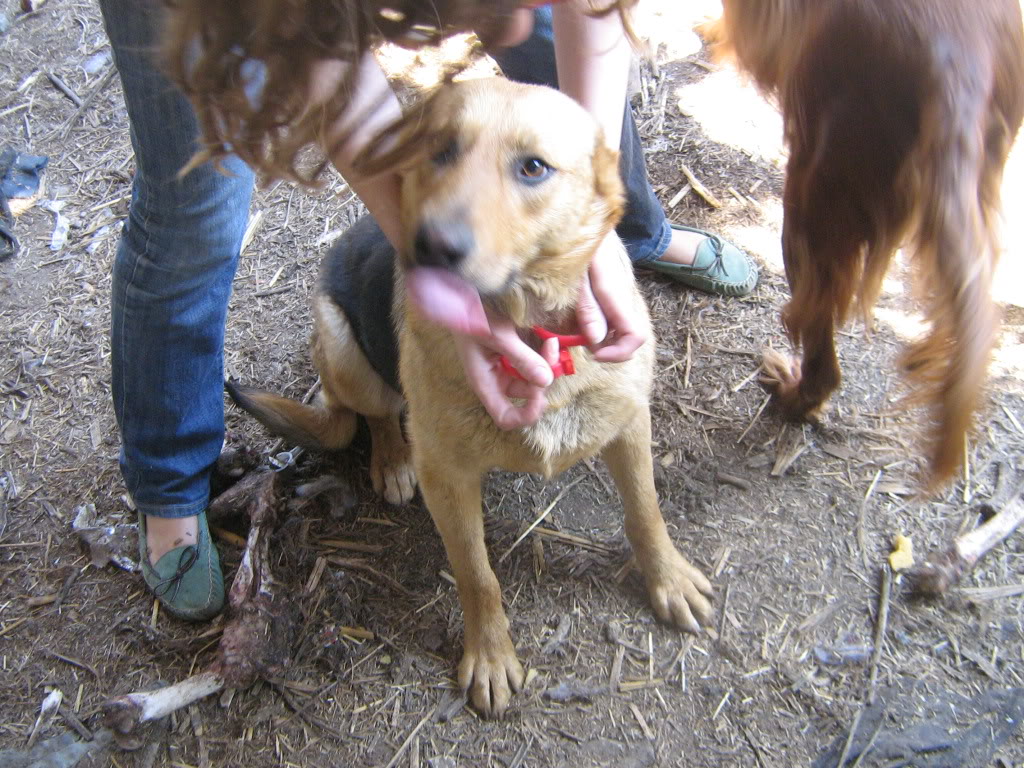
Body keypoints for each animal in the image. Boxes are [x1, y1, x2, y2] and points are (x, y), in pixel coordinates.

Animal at [230, 76, 712, 716]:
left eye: (533, 167)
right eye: (439, 152)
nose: (432, 246)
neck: (531, 331)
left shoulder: (629, 424)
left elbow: (646, 512)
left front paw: (667, 578)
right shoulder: (450, 479)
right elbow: (477, 575)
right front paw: (489, 655)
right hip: (340, 344)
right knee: (376, 414)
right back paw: (392, 460)